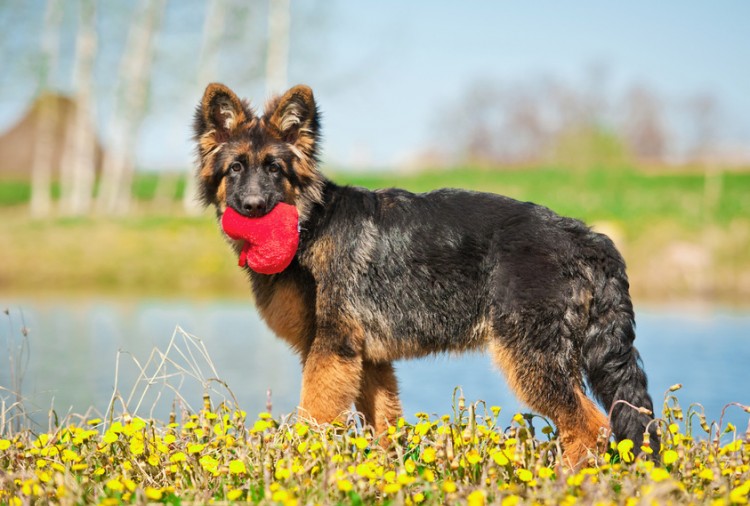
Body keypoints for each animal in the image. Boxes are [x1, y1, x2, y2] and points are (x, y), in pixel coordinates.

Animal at [192, 83, 656, 466]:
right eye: (236, 168)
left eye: (275, 169)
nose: (252, 207)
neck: (310, 223)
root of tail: (584, 235)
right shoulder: (369, 360)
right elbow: (384, 424)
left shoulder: (331, 350)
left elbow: (314, 415)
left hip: (531, 358)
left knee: (591, 427)